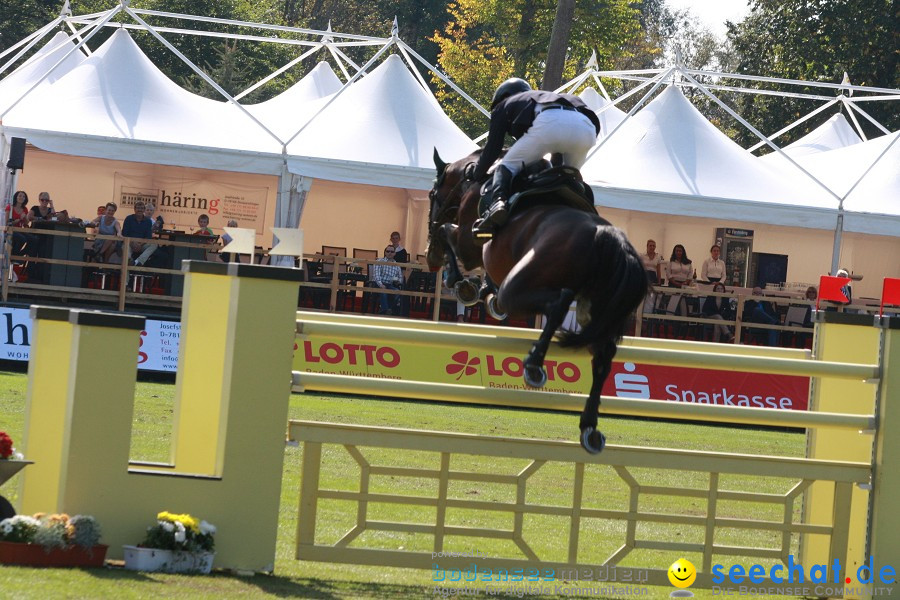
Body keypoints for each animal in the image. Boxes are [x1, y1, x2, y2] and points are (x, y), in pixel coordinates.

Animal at [428, 148, 648, 452]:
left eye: (431, 194)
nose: (430, 258)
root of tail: (606, 236)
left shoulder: (469, 244)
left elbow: (448, 233)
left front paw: (461, 284)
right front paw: (482, 291)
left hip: (520, 287)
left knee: (557, 303)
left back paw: (534, 365)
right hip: (598, 311)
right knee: (603, 355)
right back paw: (589, 428)